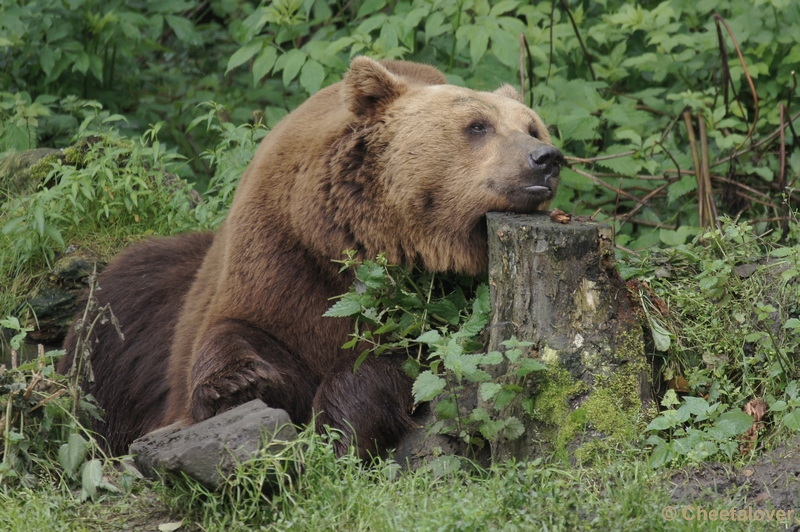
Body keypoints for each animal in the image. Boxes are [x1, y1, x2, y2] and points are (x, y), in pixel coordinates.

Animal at [59, 57, 564, 458]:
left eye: (531, 126)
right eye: (477, 125)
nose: (547, 158)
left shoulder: (446, 301)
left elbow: (402, 360)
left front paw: (339, 430)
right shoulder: (284, 253)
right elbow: (238, 330)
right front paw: (236, 385)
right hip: (138, 308)